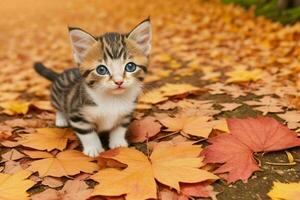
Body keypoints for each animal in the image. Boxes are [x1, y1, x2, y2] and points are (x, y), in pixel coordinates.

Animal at [34, 18, 151, 156]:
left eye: (130, 66)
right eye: (101, 70)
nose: (119, 81)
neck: (113, 100)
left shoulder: (126, 114)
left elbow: (119, 129)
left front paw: (118, 143)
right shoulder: (77, 115)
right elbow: (88, 134)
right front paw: (93, 149)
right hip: (57, 98)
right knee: (58, 107)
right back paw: (61, 119)